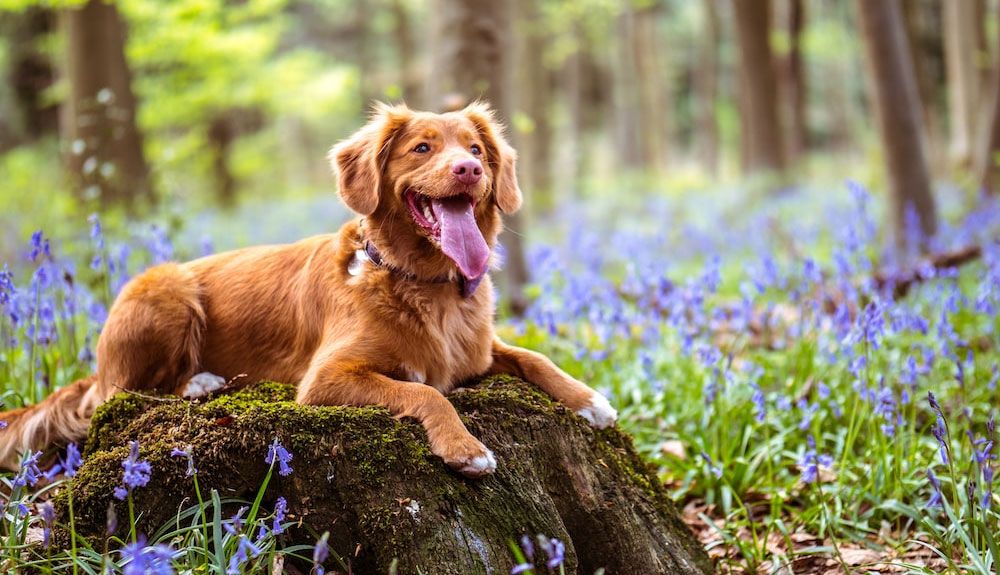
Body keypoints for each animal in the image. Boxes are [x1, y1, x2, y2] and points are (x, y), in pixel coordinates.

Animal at [0, 102, 616, 476]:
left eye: (477, 149)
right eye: (422, 148)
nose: (469, 170)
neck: (424, 284)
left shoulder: (479, 352)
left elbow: (534, 357)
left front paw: (590, 400)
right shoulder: (325, 379)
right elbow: (427, 393)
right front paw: (465, 448)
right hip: (166, 290)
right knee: (122, 394)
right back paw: (199, 382)